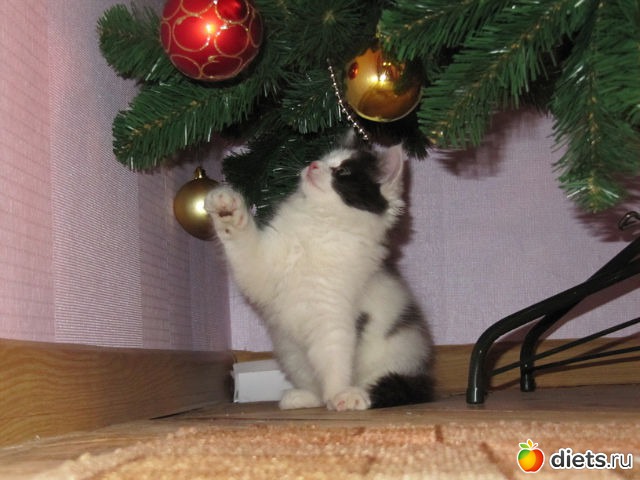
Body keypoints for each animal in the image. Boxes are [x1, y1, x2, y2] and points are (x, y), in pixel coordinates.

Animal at [205, 141, 433, 411]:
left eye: (343, 172)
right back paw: (303, 397)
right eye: (323, 159)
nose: (313, 165)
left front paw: (340, 394)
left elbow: (334, 358)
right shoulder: (262, 270)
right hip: (290, 354)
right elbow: (243, 244)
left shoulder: (333, 314)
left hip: (397, 351)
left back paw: (360, 394)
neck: (317, 226)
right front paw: (226, 208)